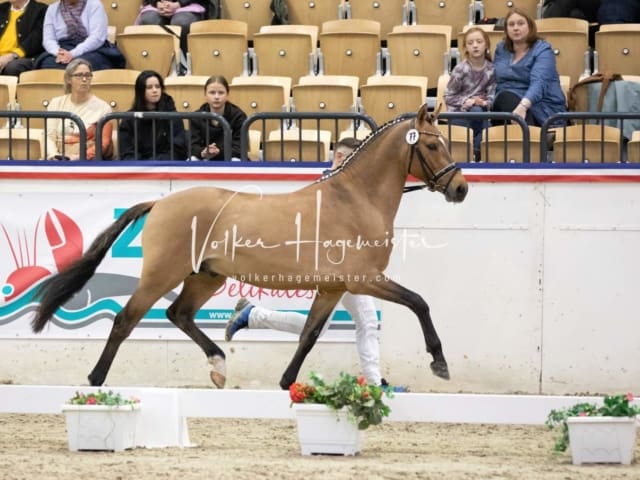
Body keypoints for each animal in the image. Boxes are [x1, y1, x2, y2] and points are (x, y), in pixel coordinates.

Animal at [31, 104, 470, 390]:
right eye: (433, 146)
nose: (460, 189)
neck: (354, 199)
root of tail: (161, 202)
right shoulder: (364, 279)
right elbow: (419, 302)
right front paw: (440, 363)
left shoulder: (333, 287)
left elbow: (309, 334)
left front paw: (287, 383)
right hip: (162, 274)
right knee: (126, 320)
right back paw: (95, 380)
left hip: (205, 276)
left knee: (178, 314)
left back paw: (219, 365)